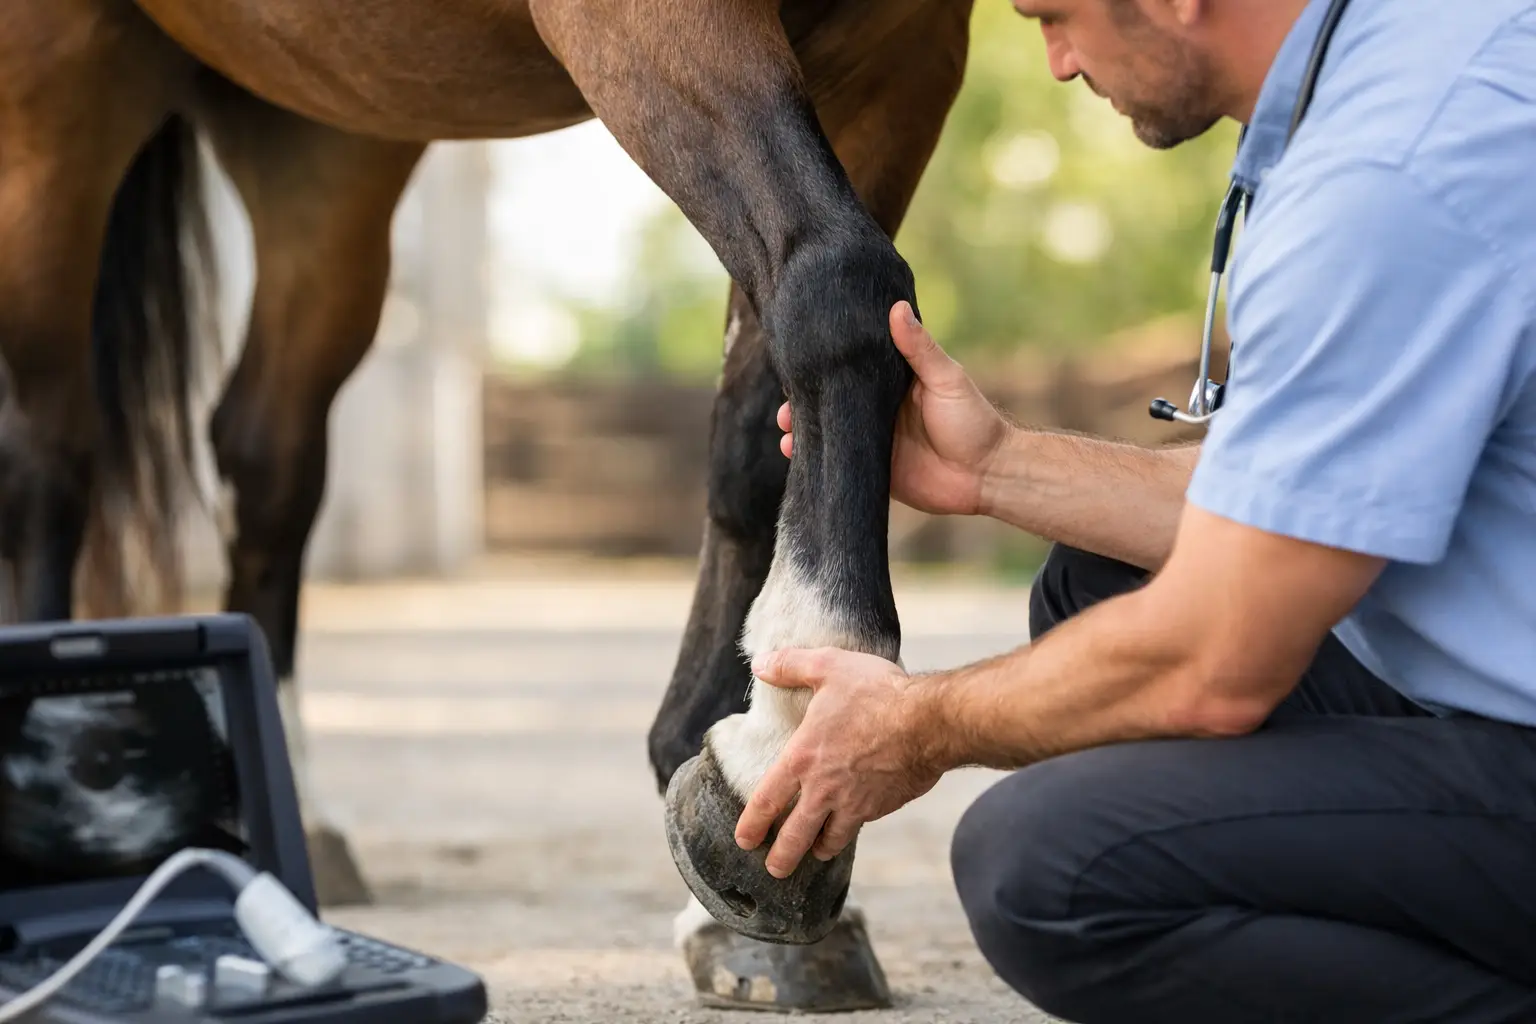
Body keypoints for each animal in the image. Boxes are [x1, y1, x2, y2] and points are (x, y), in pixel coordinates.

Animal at [0, 0, 976, 1011]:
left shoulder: (904, 51)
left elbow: (755, 423)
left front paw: (768, 826)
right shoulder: (646, 23)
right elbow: (838, 284)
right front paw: (788, 743)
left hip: (323, 146)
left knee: (269, 454)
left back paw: (302, 825)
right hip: (56, 88)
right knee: (50, 457)